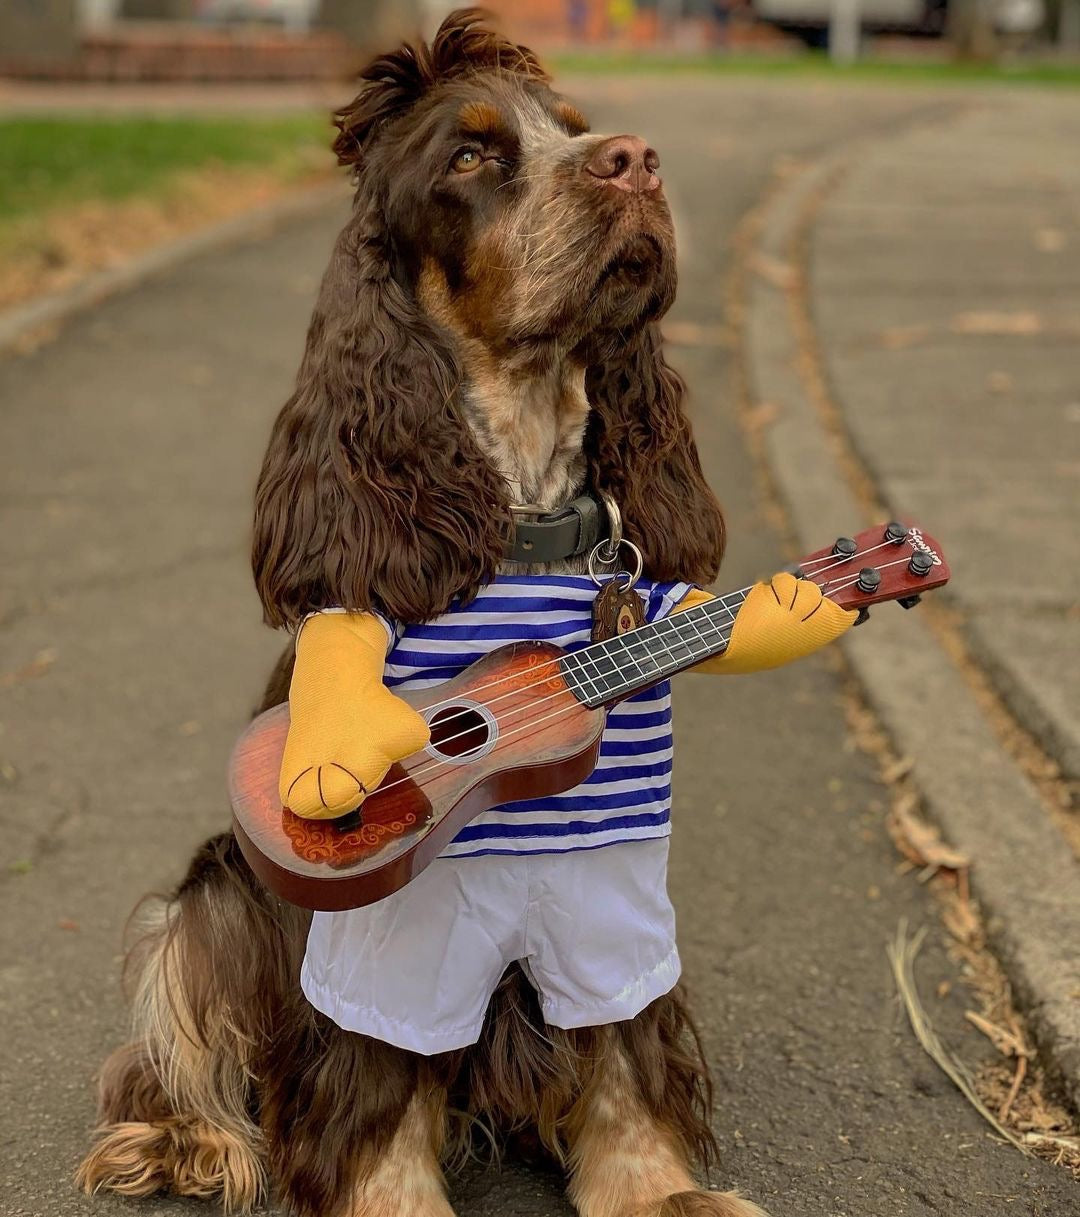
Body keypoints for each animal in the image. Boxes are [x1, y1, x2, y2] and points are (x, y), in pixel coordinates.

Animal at [77, 9, 769, 1217]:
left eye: (575, 128)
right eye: (473, 156)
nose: (638, 159)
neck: (519, 503)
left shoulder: (611, 887)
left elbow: (625, 1048)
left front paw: (656, 1190)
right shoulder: (390, 934)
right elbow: (373, 1077)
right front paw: (387, 1196)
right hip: (214, 891)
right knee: (177, 1032)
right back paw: (187, 1140)